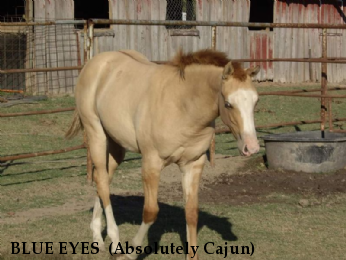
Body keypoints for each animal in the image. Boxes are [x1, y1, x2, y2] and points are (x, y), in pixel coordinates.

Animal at [65, 48, 260, 258]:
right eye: (229, 104)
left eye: (255, 102)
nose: (251, 147)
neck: (182, 105)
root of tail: (96, 62)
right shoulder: (151, 163)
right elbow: (150, 211)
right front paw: (131, 251)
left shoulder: (193, 164)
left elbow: (191, 212)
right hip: (96, 135)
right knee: (101, 180)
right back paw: (115, 242)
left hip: (117, 146)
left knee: (104, 182)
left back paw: (97, 237)